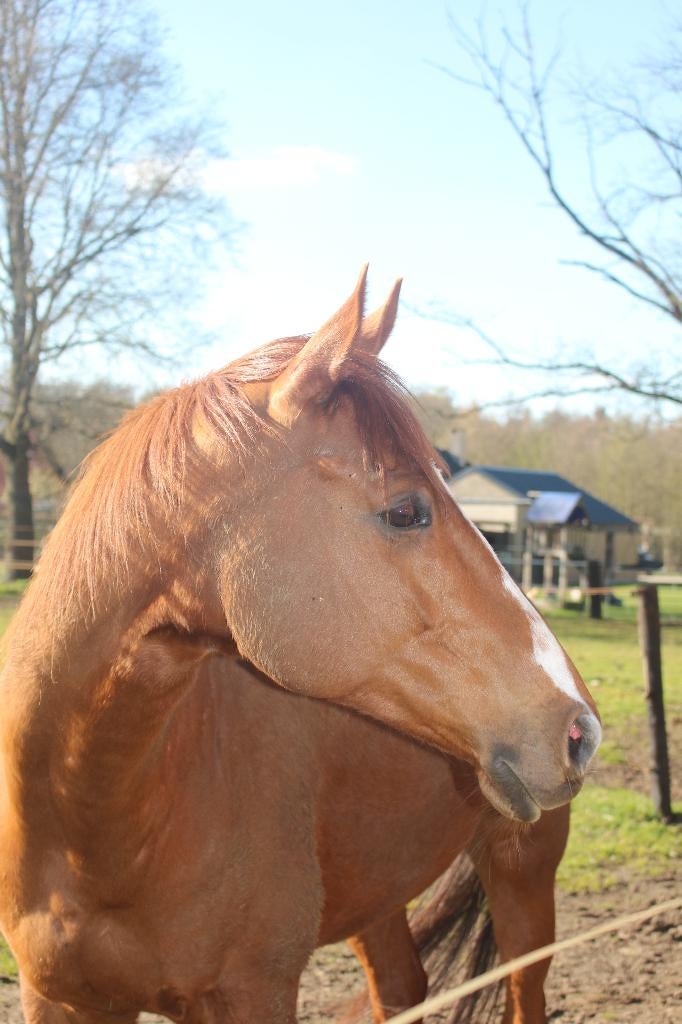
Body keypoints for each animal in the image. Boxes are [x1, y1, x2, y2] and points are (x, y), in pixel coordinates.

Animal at [0, 266, 600, 1024]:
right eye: (406, 510)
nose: (580, 729)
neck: (94, 819)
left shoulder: (254, 990)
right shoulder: (60, 997)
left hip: (523, 879)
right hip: (377, 889)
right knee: (401, 986)